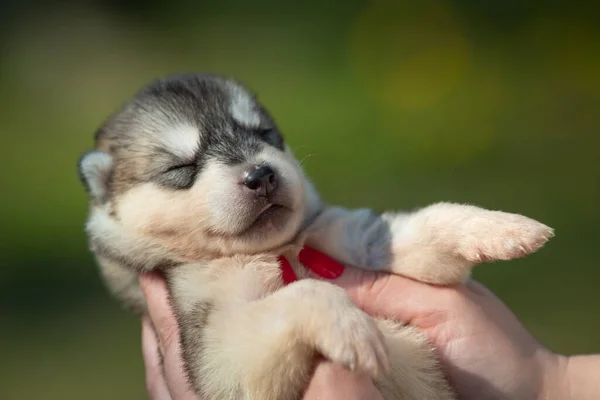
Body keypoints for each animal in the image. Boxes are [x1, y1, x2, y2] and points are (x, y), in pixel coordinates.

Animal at [77, 72, 556, 400]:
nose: (261, 175)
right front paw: (351, 326)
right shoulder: (218, 354)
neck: (277, 250)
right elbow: (306, 294)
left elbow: (418, 225)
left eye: (265, 134)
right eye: (181, 167)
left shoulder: (339, 231)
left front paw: (499, 227)